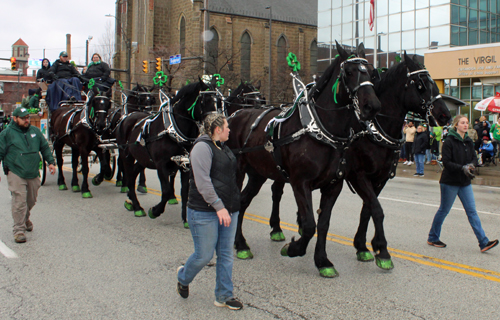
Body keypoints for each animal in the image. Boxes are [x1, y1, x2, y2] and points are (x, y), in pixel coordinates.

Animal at [117, 80, 219, 220]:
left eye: (217, 100)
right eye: (204, 99)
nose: (216, 123)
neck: (173, 131)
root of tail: (127, 117)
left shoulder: (185, 164)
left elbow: (185, 191)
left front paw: (185, 219)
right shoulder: (161, 165)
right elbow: (166, 191)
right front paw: (155, 211)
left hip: (143, 158)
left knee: (133, 175)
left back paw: (131, 202)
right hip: (126, 155)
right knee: (128, 177)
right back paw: (137, 207)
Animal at [225, 43, 380, 278]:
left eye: (371, 72)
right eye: (349, 72)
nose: (372, 106)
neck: (321, 129)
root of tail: (236, 115)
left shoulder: (333, 186)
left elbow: (323, 224)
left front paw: (322, 261)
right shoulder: (300, 183)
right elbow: (308, 225)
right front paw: (293, 248)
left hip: (258, 174)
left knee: (243, 202)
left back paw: (241, 243)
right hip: (238, 169)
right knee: (235, 203)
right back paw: (239, 243)